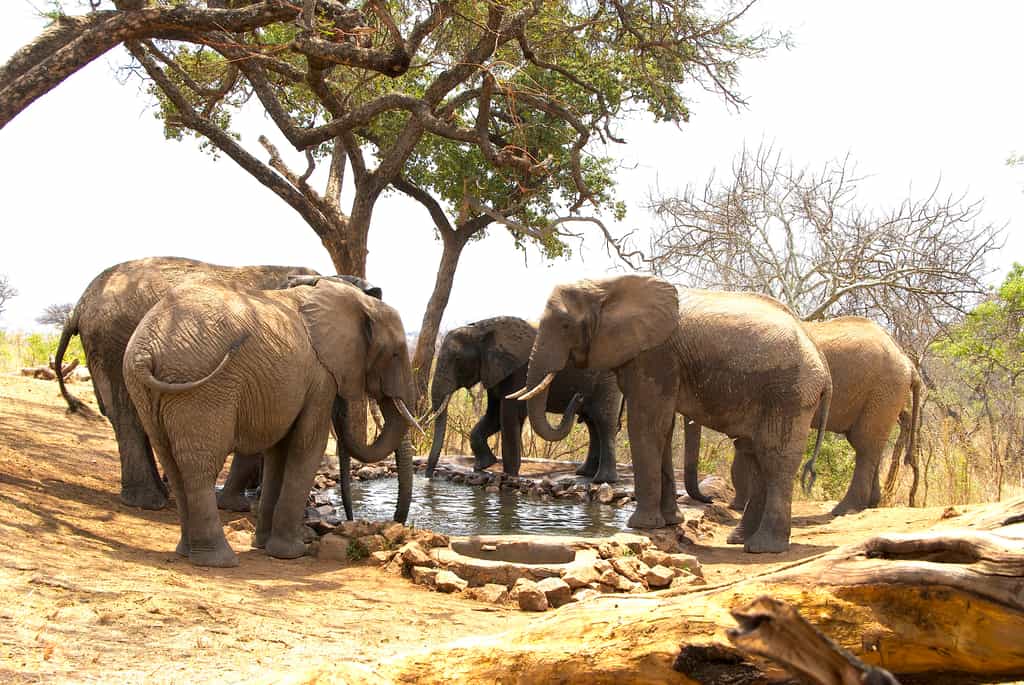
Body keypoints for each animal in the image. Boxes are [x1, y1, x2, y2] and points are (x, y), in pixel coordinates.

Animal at [123, 277, 419, 567]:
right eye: (395, 354)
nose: (396, 522)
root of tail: (145, 352)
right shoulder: (320, 378)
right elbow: (307, 447)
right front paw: (291, 554)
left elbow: (279, 452)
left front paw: (264, 547)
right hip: (201, 387)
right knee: (200, 467)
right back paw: (219, 561)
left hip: (145, 389)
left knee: (172, 462)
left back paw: (187, 553)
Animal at [424, 316, 622, 482]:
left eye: (457, 359)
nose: (429, 476)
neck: (481, 328)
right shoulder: (496, 371)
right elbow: (493, 416)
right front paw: (483, 466)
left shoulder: (518, 371)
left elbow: (508, 415)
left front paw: (508, 475)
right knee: (592, 423)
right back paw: (584, 473)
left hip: (607, 381)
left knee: (603, 421)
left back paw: (602, 480)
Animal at [517, 274, 831, 553]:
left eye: (565, 325)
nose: (579, 397)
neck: (608, 284)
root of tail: (823, 366)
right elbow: (662, 429)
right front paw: (669, 522)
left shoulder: (655, 355)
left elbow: (646, 424)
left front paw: (640, 526)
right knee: (756, 456)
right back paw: (741, 541)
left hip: (790, 393)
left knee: (774, 458)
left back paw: (763, 548)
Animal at [730, 316, 922, 516]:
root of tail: (908, 363)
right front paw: (738, 505)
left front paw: (737, 507)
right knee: (871, 443)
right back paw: (869, 504)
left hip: (883, 391)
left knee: (865, 444)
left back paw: (845, 510)